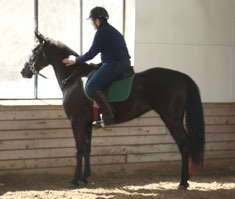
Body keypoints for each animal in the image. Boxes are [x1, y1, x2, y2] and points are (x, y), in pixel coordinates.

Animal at [21, 31, 206, 190]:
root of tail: (181, 76)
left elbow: (79, 150)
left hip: (171, 119)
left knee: (184, 144)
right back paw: (185, 181)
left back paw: (182, 182)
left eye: (35, 50)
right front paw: (85, 177)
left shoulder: (76, 122)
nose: (23, 71)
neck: (73, 77)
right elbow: (87, 148)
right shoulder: (87, 124)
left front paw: (75, 180)